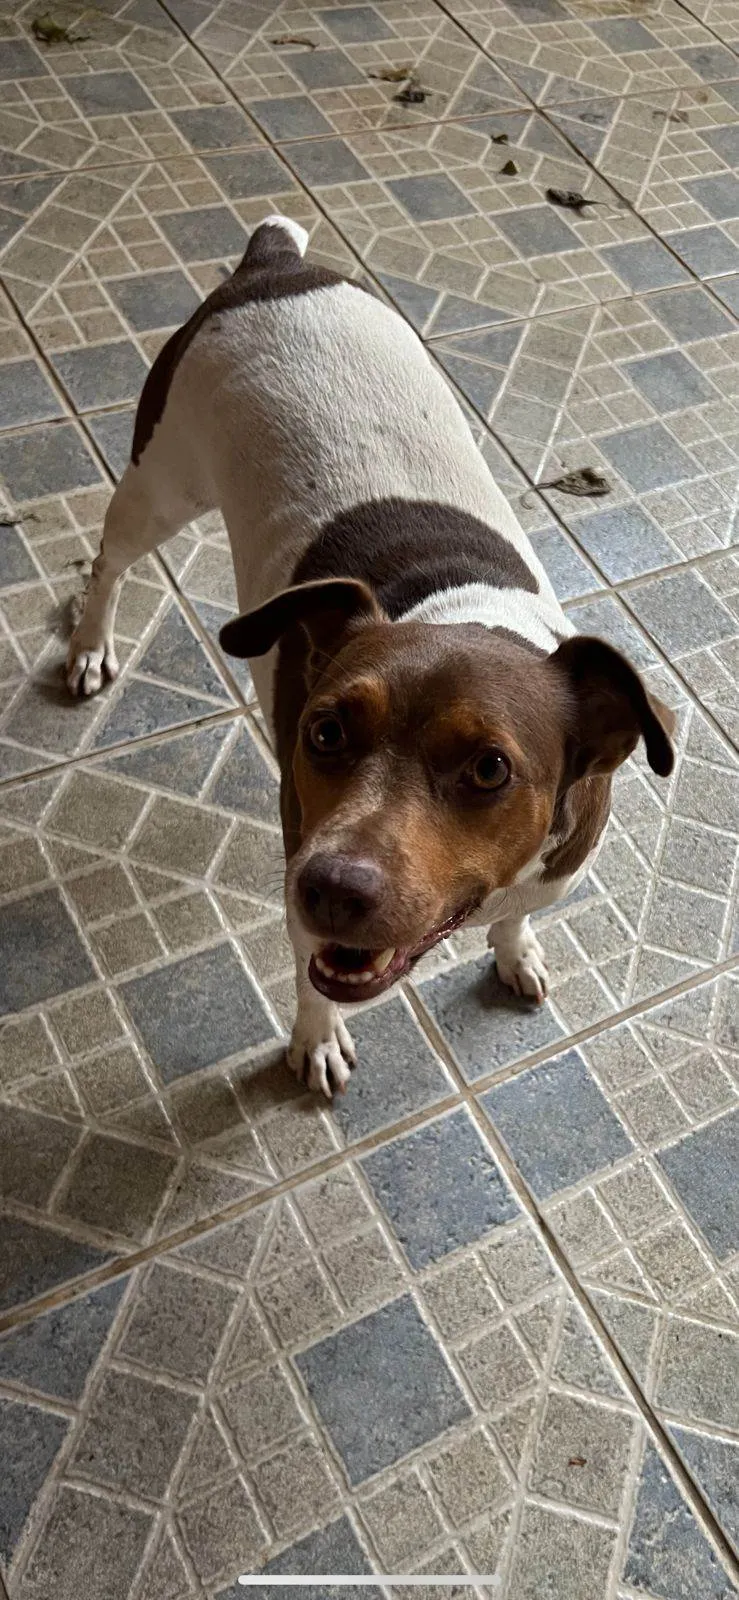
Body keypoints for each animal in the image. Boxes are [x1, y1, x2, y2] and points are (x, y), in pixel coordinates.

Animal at [68, 214, 675, 1098]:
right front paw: (316, 1039)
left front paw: (514, 950)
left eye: (489, 769)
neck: (463, 611)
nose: (329, 887)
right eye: (324, 732)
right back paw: (88, 646)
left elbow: (515, 919)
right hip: (159, 485)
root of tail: (274, 262)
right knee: (110, 563)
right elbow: (310, 979)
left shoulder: (548, 875)